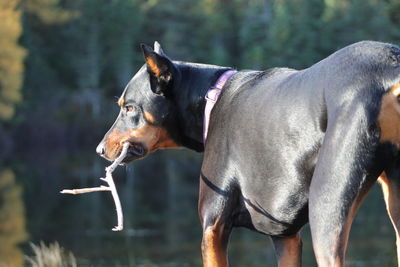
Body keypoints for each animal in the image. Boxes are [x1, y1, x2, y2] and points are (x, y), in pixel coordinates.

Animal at [97, 40, 400, 266]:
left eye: (129, 107)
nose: (100, 149)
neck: (210, 100)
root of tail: (390, 71)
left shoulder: (213, 226)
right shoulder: (286, 236)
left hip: (327, 209)